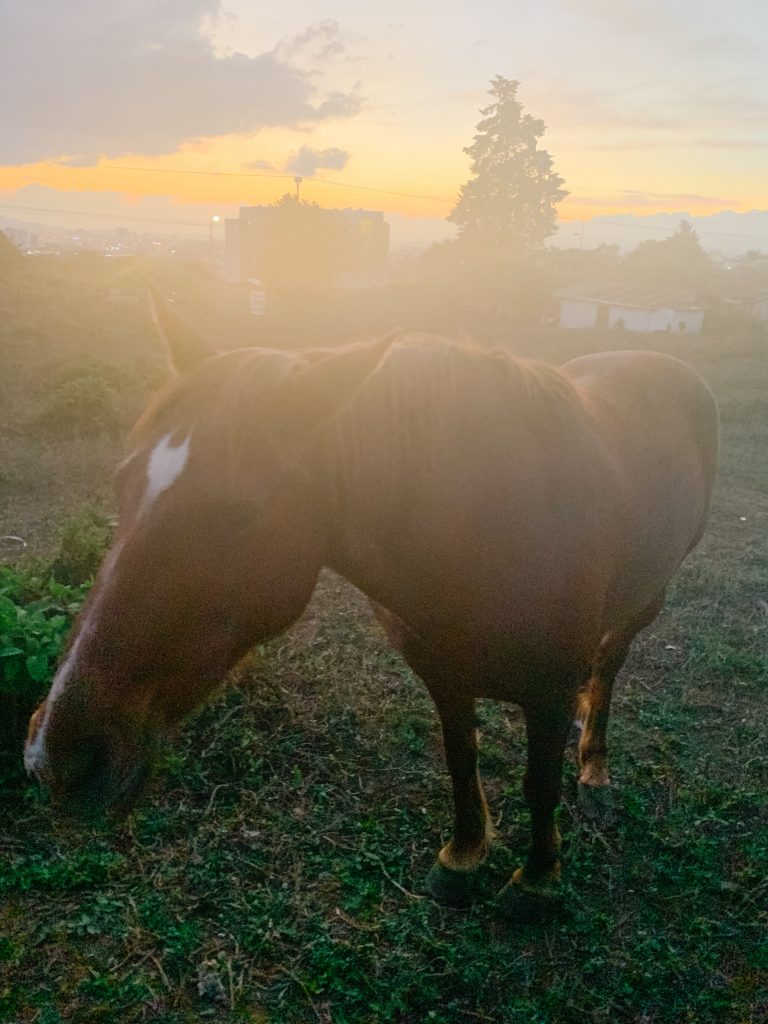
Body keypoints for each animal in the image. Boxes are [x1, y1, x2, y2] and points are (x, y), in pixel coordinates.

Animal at [25, 296, 719, 911]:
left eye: (235, 515)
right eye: (121, 484)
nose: (55, 753)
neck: (486, 531)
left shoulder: (547, 689)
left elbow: (538, 782)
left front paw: (539, 879)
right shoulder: (442, 671)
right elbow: (461, 759)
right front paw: (463, 856)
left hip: (644, 601)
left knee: (608, 667)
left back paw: (594, 770)